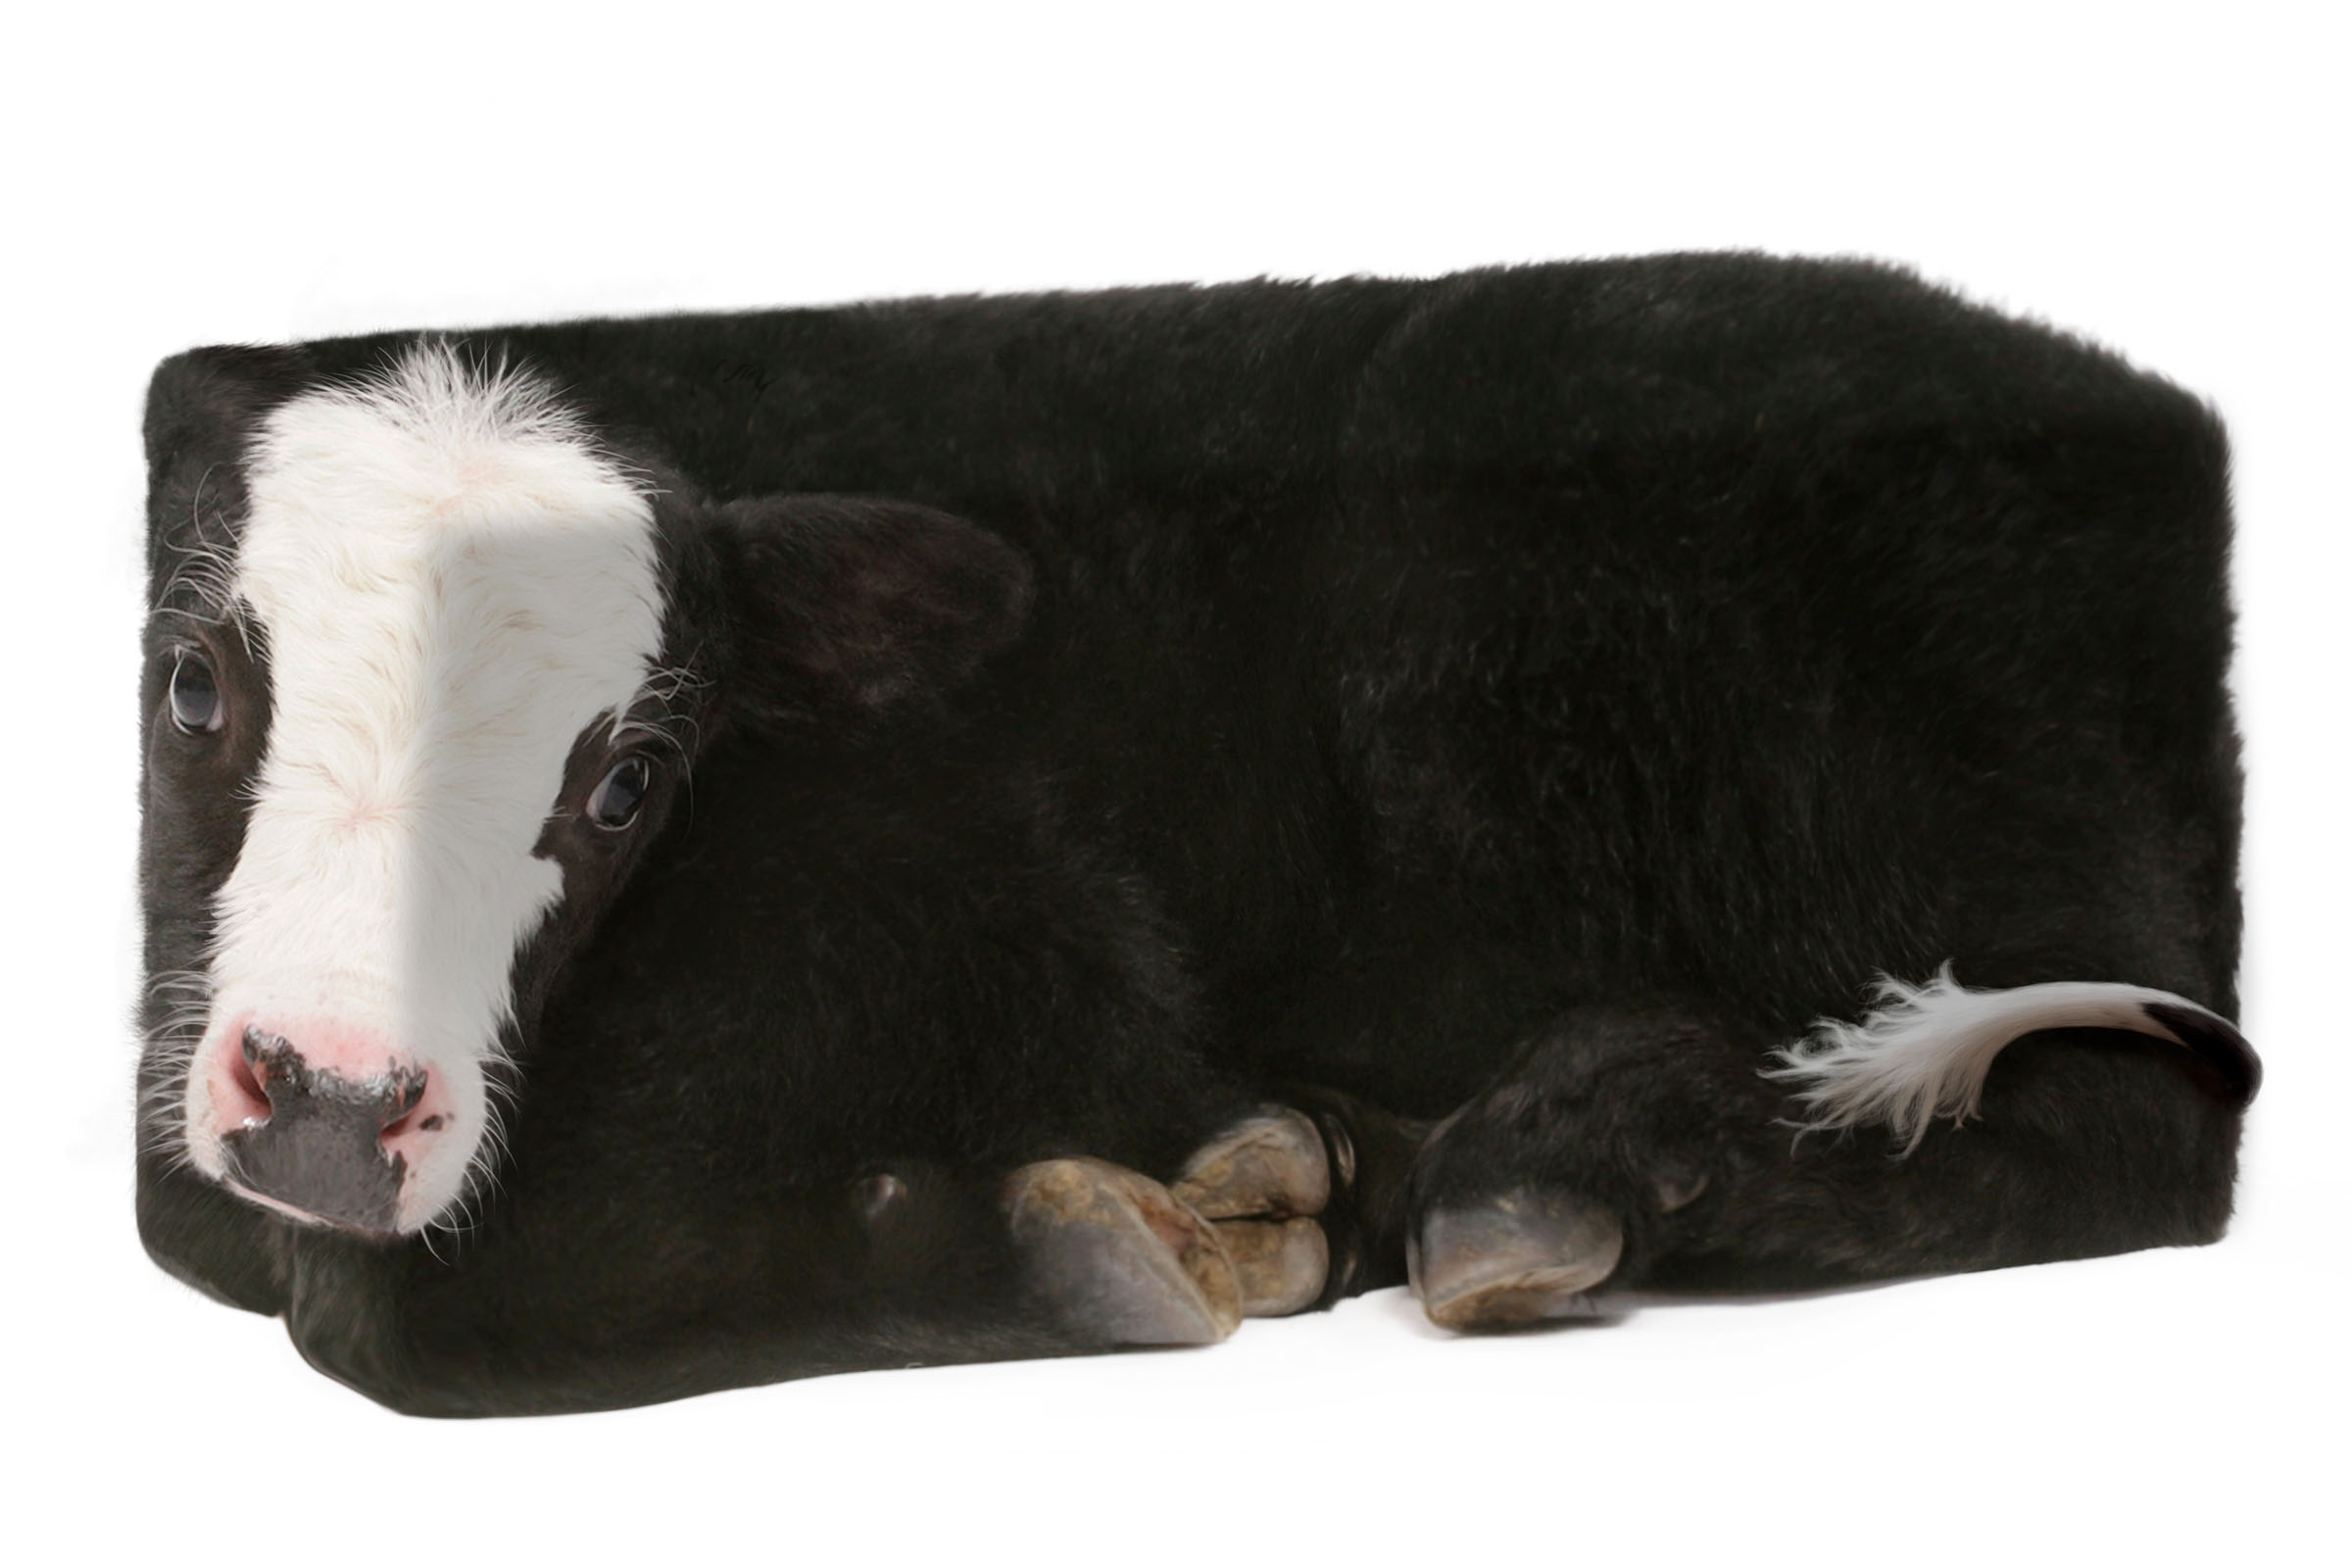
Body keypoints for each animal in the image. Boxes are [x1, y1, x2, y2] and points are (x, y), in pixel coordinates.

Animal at [135, 255, 2260, 1415]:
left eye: (632, 778)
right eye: (192, 683)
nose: (328, 1100)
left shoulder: (1013, 910)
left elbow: (396, 1312)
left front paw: (1079, 1239)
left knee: (2117, 1117)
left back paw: (1556, 1158)